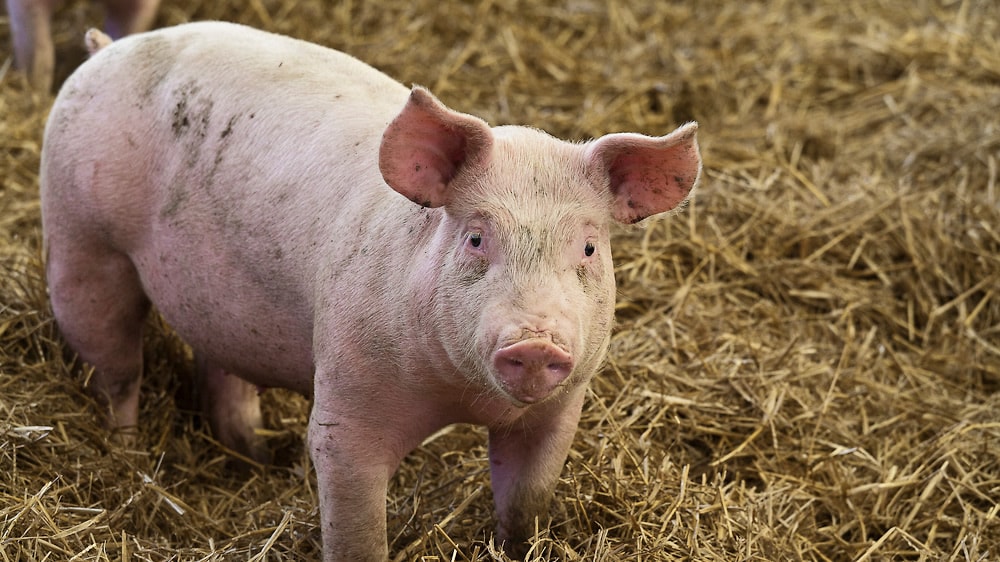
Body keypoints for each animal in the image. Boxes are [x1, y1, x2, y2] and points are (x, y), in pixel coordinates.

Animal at [41, 20, 704, 560]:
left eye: (589, 249)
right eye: (475, 238)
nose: (536, 342)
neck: (462, 397)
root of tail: (106, 49)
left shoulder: (559, 410)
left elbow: (524, 508)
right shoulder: (346, 404)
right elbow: (355, 526)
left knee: (219, 372)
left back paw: (256, 453)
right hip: (80, 241)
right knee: (117, 370)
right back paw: (128, 457)